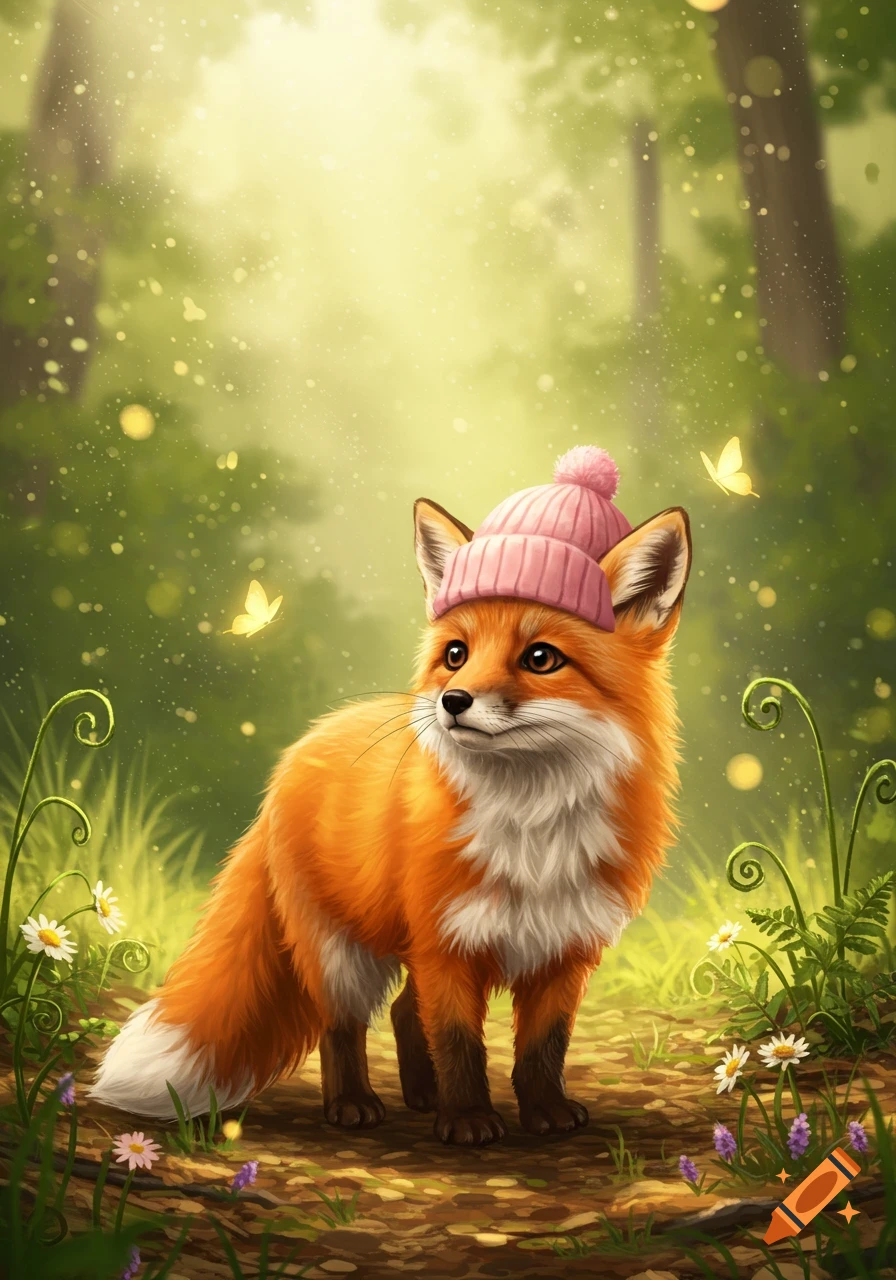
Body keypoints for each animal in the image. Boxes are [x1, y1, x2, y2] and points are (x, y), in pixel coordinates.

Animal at [90, 446, 692, 1146]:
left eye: (541, 657)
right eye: (456, 654)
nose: (452, 702)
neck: (532, 827)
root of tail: (302, 745)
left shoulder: (563, 951)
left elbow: (543, 1047)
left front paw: (543, 1113)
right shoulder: (447, 944)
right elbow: (459, 1042)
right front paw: (468, 1119)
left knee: (405, 1013)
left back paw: (421, 1096)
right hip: (340, 956)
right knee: (343, 1028)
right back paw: (354, 1104)